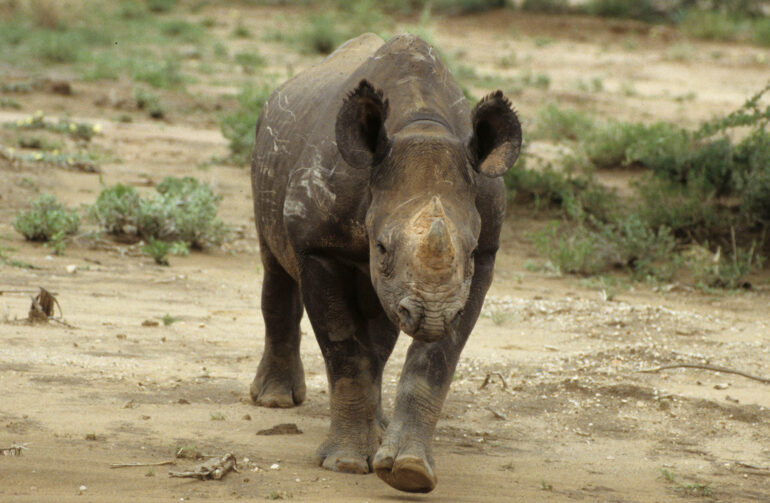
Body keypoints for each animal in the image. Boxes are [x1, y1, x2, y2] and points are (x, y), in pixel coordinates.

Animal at [249, 33, 521, 493]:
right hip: (264, 150)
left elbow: (433, 362)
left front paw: (408, 471)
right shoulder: (318, 247)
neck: (422, 126)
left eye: (467, 252)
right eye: (380, 247)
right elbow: (343, 349)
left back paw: (377, 431)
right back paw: (274, 400)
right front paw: (345, 464)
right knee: (276, 269)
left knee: (379, 328)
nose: (431, 313)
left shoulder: (485, 256)